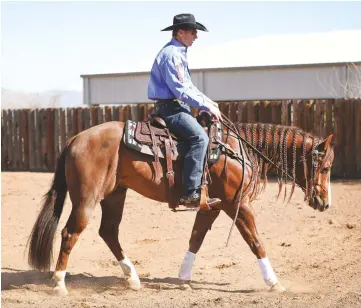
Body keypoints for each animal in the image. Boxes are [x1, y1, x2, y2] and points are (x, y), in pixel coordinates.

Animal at [26, 119, 334, 294]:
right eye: (325, 167)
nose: (325, 203)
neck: (236, 150)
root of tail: (74, 139)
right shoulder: (238, 204)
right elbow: (255, 242)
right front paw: (274, 282)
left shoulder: (212, 206)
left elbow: (196, 238)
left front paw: (184, 278)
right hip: (87, 198)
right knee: (70, 233)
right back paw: (59, 283)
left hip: (114, 195)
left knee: (109, 232)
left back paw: (133, 279)